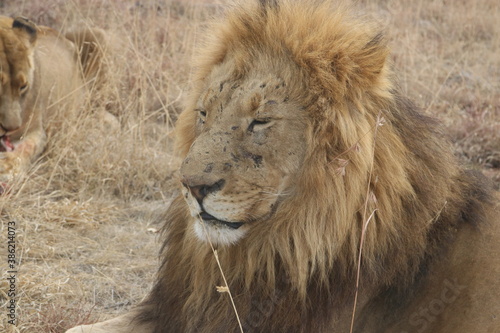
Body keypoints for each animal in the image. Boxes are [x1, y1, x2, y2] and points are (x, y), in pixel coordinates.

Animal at [0, 16, 104, 189]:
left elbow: (28, 147)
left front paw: (7, 168)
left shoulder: (35, 129)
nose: (11, 129)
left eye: (23, 86)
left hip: (96, 34)